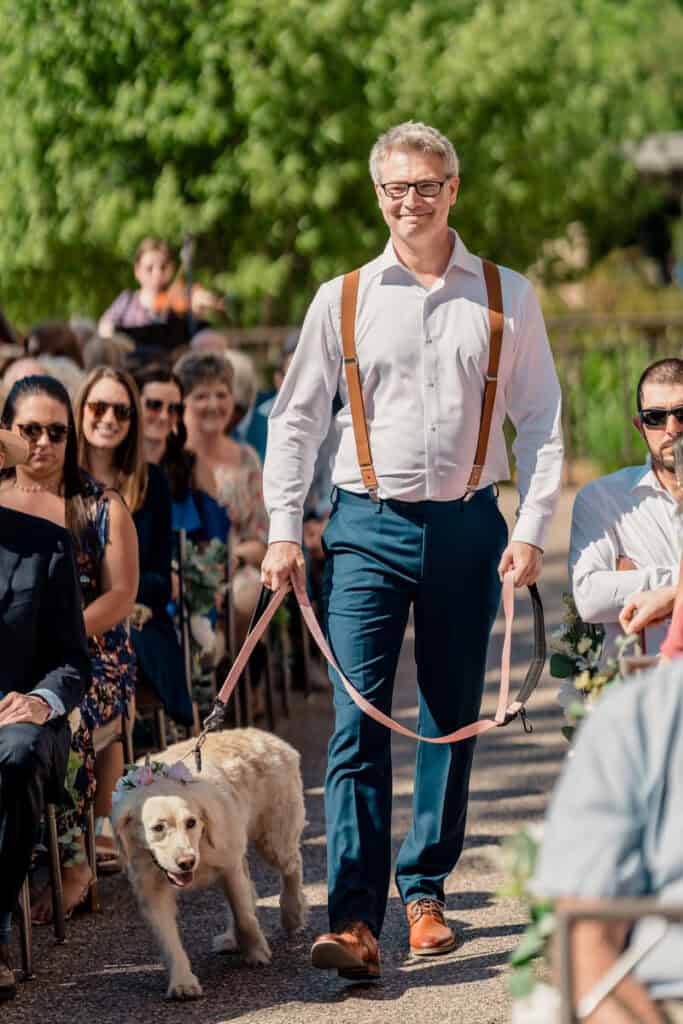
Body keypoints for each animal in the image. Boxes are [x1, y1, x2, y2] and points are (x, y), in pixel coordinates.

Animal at [111, 729, 307, 999]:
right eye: (158, 828)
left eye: (191, 822)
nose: (187, 862)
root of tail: (270, 737)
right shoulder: (152, 891)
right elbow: (169, 942)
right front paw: (182, 982)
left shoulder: (229, 866)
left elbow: (244, 916)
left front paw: (256, 951)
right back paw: (231, 938)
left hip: (274, 840)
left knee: (292, 868)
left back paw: (292, 914)